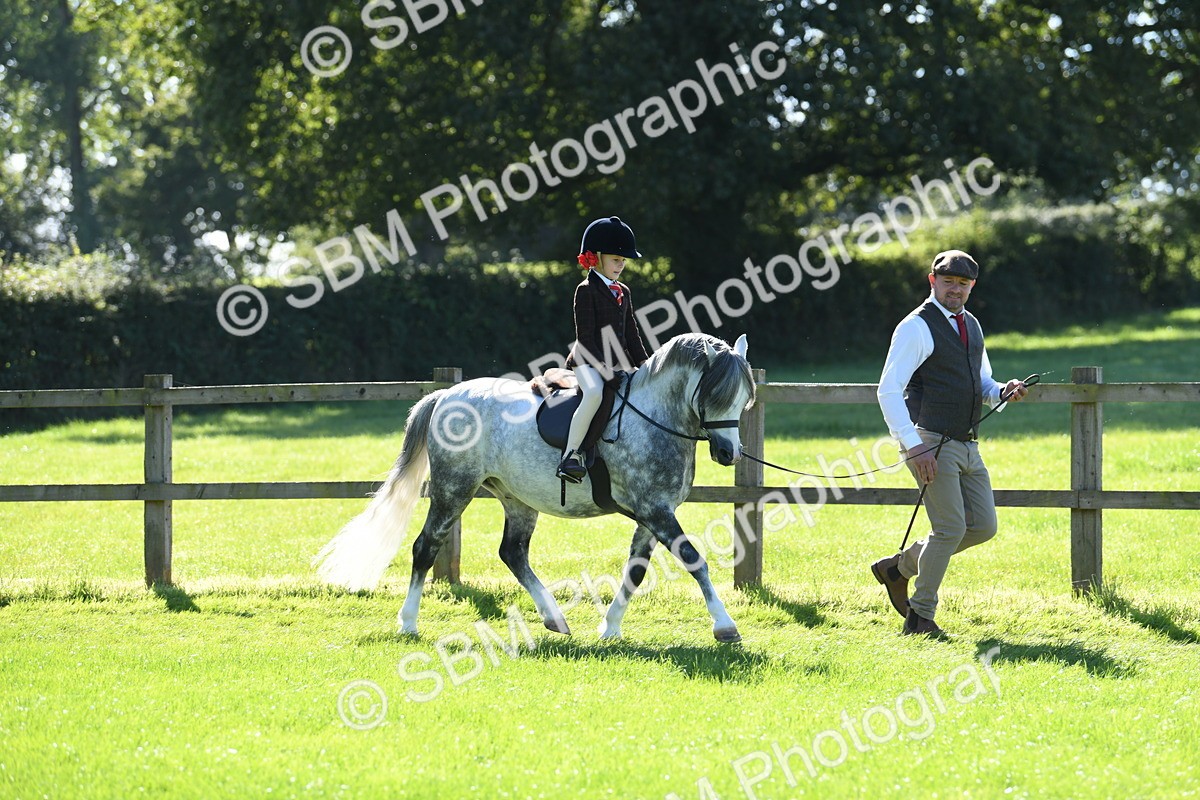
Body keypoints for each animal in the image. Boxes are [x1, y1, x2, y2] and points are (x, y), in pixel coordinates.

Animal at [315, 332, 756, 642]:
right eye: (716, 395)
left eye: (744, 400)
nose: (728, 453)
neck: (654, 418)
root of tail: (445, 395)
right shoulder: (655, 511)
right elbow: (694, 560)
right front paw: (725, 626)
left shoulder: (653, 514)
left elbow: (635, 570)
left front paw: (609, 628)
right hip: (453, 489)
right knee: (426, 547)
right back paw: (408, 623)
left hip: (516, 498)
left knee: (512, 552)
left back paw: (554, 617)